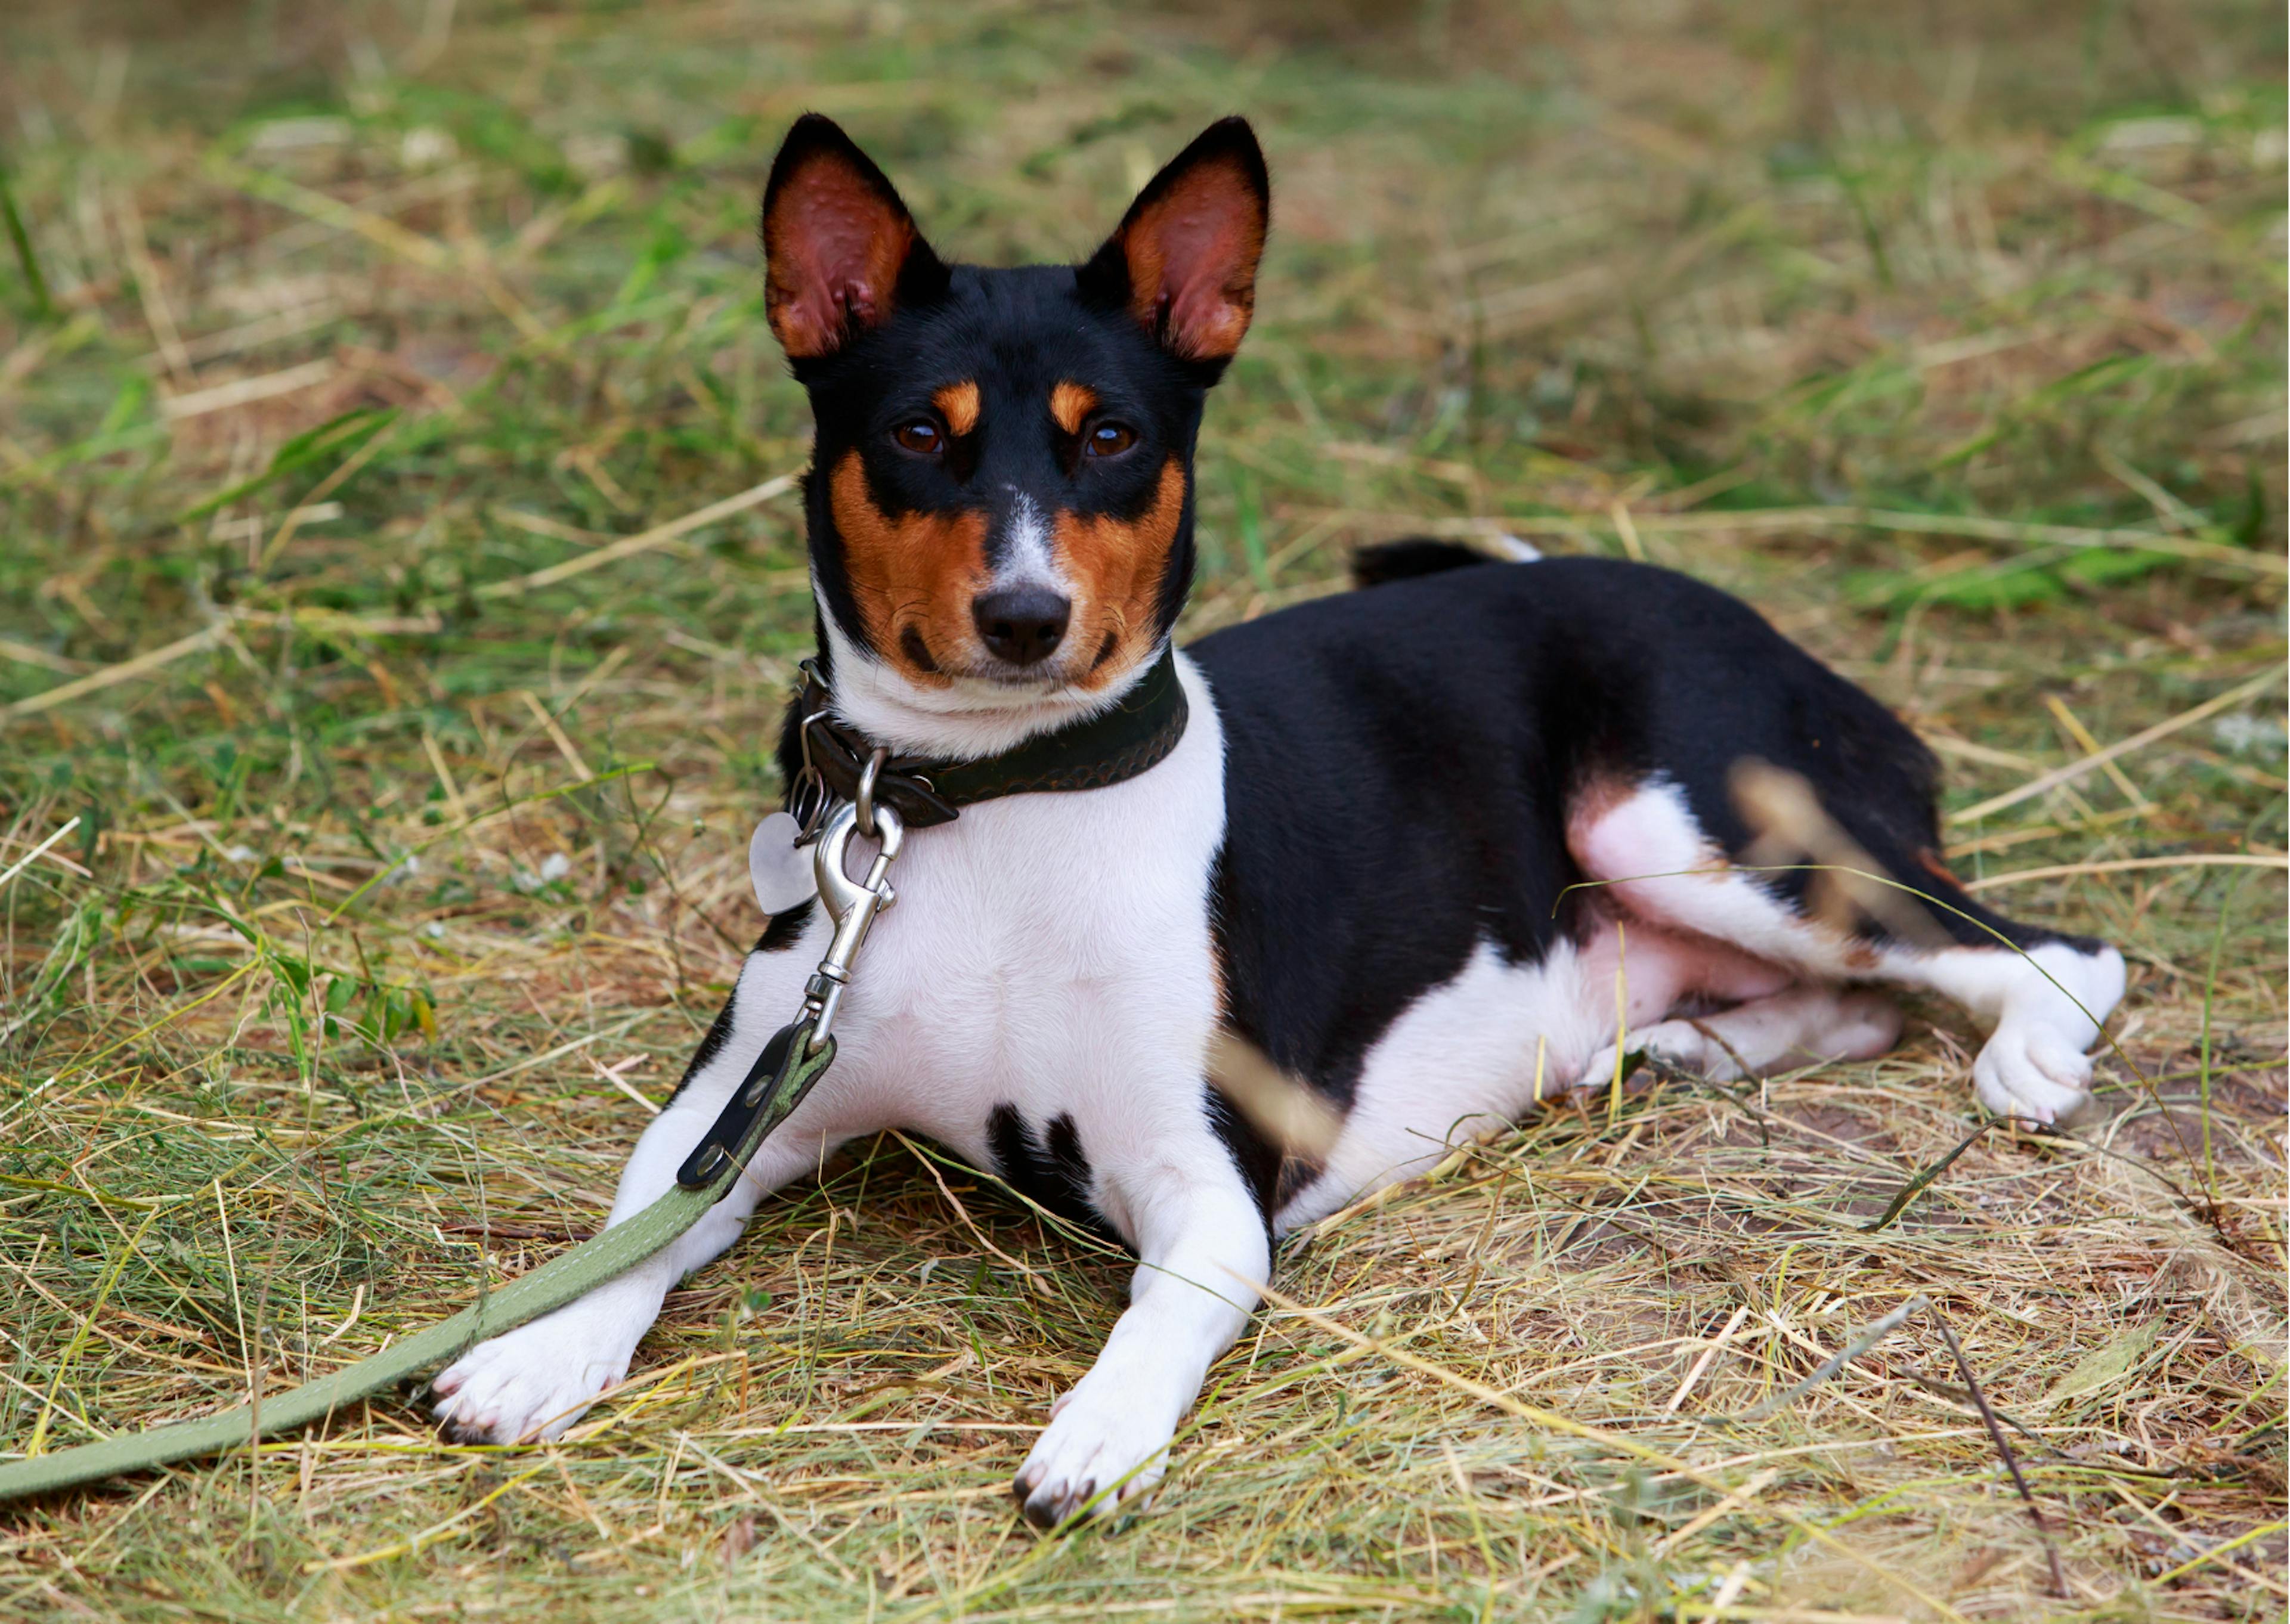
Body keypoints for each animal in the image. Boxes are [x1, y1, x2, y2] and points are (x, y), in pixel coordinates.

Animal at [432, 114, 2125, 1521]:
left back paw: (2026, 1061)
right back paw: (1687, 1050)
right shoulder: (737, 1113)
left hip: (1687, 829)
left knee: (2045, 951)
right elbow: (630, 1233)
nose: (1027, 617)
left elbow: (1156, 1320)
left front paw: (1101, 1432)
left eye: (1112, 436)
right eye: (919, 433)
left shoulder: (1209, 1188)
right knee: (1861, 1003)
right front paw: (543, 1348)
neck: (990, 808)